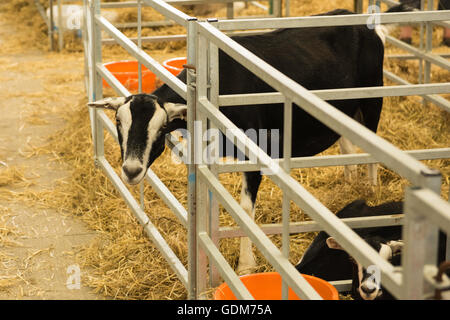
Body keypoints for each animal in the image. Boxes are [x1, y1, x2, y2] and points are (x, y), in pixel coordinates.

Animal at [88, 3, 418, 274]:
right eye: (118, 122)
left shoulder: (254, 152)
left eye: (160, 129)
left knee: (371, 147)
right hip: (341, 109)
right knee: (349, 145)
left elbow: (245, 212)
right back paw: (349, 185)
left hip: (372, 98)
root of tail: (362, 22)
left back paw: (371, 189)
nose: (131, 170)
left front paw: (245, 266)